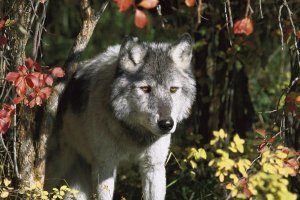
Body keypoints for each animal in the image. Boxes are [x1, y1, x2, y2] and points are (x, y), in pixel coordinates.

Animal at [43, 33, 196, 199]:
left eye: (173, 89)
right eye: (145, 88)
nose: (167, 124)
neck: (133, 134)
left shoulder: (153, 167)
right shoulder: (105, 166)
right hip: (56, 170)